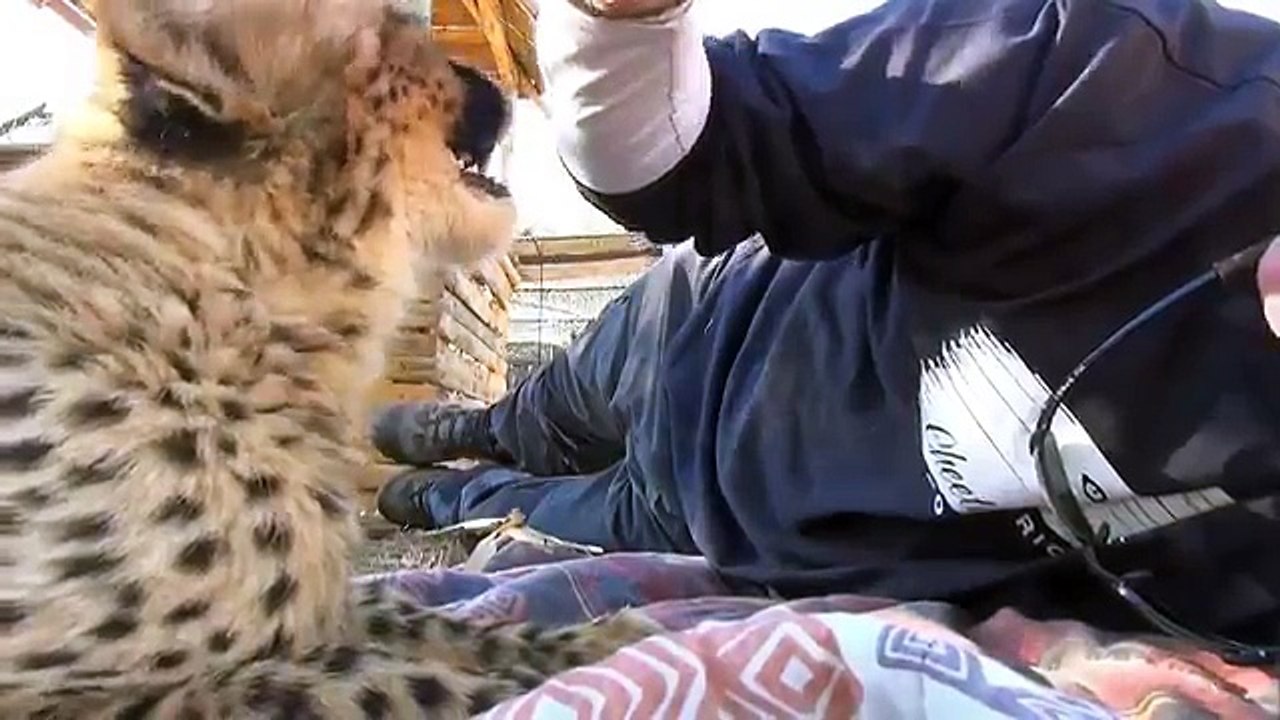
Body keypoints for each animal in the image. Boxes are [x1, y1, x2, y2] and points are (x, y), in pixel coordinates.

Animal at [0, 0, 657, 717]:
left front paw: (584, 639)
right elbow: (374, 679)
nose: (498, 84)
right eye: (397, 30)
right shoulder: (75, 697)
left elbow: (413, 617)